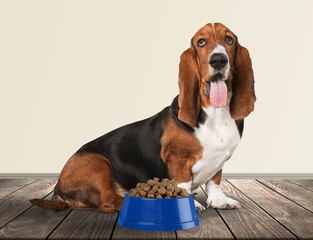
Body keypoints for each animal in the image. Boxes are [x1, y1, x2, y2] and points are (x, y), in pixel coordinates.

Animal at [31, 23, 256, 212]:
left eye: (229, 40)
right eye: (201, 42)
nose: (218, 60)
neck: (216, 115)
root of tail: (58, 189)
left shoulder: (218, 163)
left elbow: (214, 181)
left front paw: (220, 200)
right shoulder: (177, 159)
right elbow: (183, 184)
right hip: (98, 164)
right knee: (107, 202)